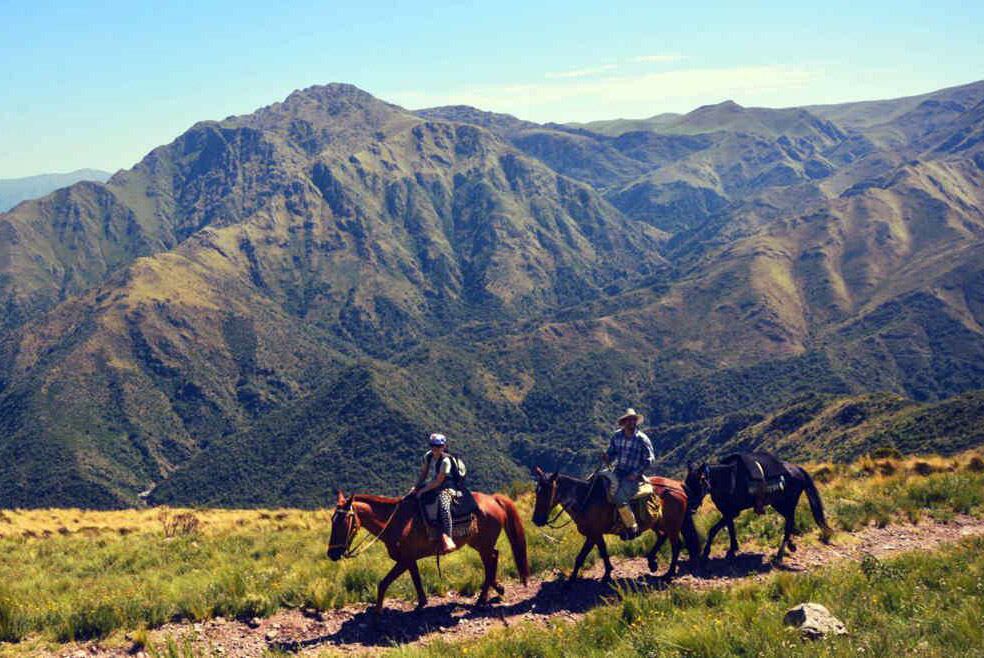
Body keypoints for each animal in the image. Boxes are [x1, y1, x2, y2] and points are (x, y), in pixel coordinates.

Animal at [328, 486, 532, 608]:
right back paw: (497, 589)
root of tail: (493, 499)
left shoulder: (404, 560)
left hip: (483, 544)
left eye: (343, 522)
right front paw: (422, 602)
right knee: (493, 558)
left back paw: (482, 598)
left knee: (490, 562)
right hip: (480, 544)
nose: (332, 554)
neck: (395, 521)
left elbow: (383, 584)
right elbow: (416, 580)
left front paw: (377, 617)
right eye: (332, 520)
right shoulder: (409, 561)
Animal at [532, 466, 700, 580]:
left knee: (676, 545)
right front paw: (607, 573)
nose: (536, 520)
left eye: (547, 492)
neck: (586, 498)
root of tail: (678, 486)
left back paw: (669, 573)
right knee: (662, 537)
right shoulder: (596, 534)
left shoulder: (593, 534)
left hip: (672, 526)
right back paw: (652, 562)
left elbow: (581, 557)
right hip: (657, 523)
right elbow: (602, 551)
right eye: (536, 491)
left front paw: (571, 580)